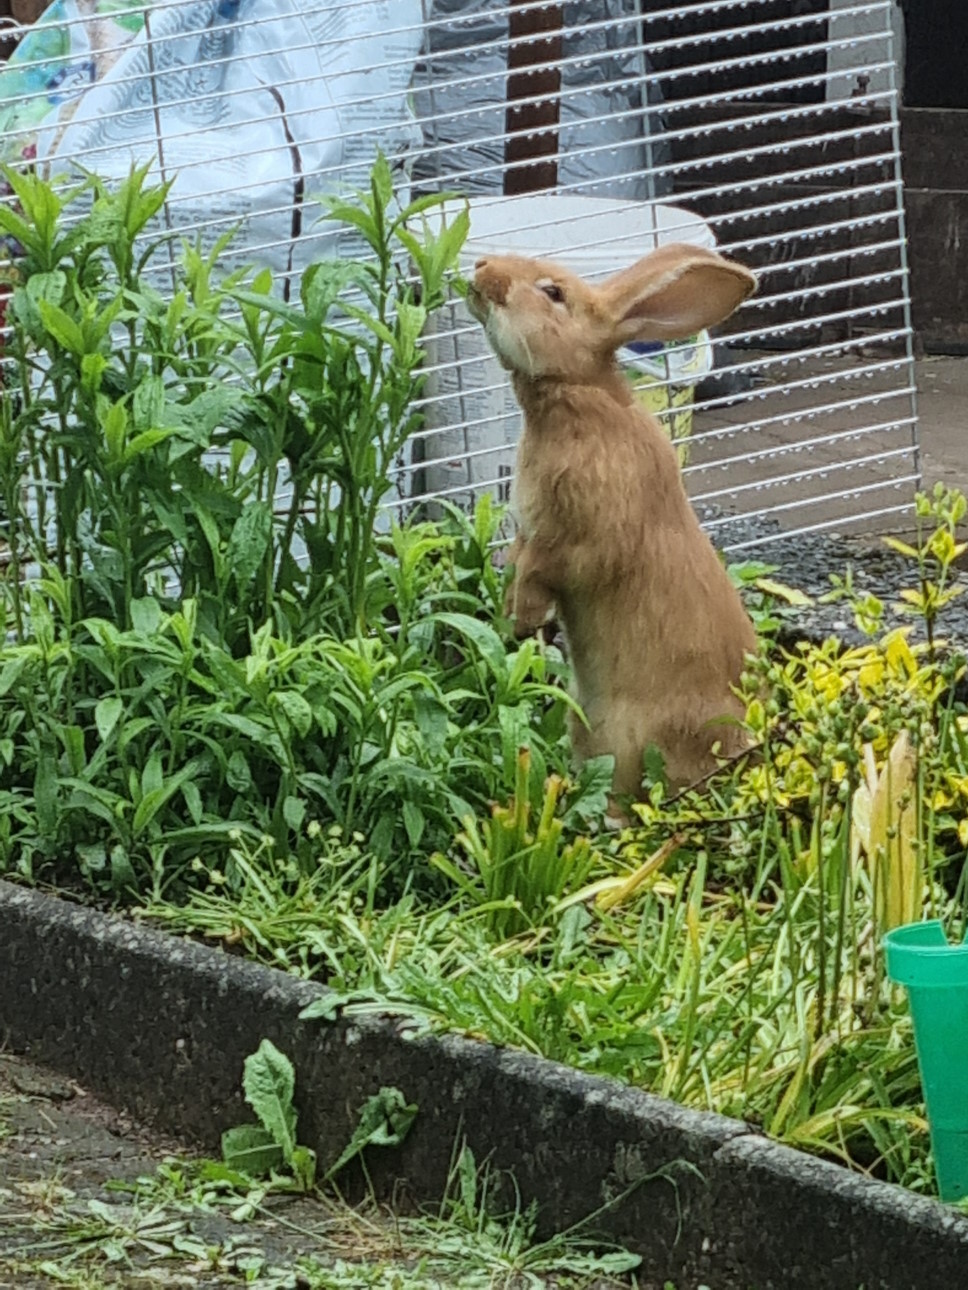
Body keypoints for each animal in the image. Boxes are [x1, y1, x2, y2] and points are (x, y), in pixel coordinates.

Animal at [467, 242, 764, 794]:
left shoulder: (578, 541)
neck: (575, 390)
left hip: (639, 741)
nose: (482, 267)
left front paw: (520, 619)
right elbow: (518, 560)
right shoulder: (527, 533)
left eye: (553, 292)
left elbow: (547, 571)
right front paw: (509, 614)